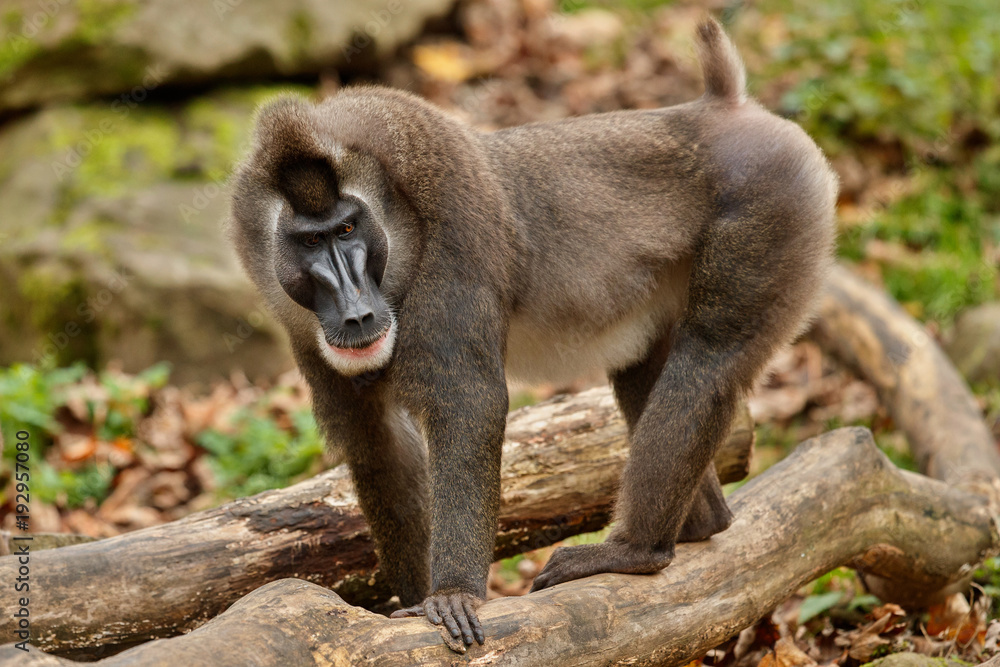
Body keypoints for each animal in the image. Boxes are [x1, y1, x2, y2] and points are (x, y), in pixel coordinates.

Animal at [228, 18, 837, 651]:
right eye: (309, 242)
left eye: (347, 230)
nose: (355, 314)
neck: (400, 224)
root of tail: (726, 107)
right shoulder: (307, 334)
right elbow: (379, 448)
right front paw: (414, 602)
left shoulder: (455, 244)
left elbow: (469, 406)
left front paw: (453, 594)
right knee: (644, 372)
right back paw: (700, 525)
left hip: (773, 214)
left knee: (710, 358)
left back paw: (635, 551)